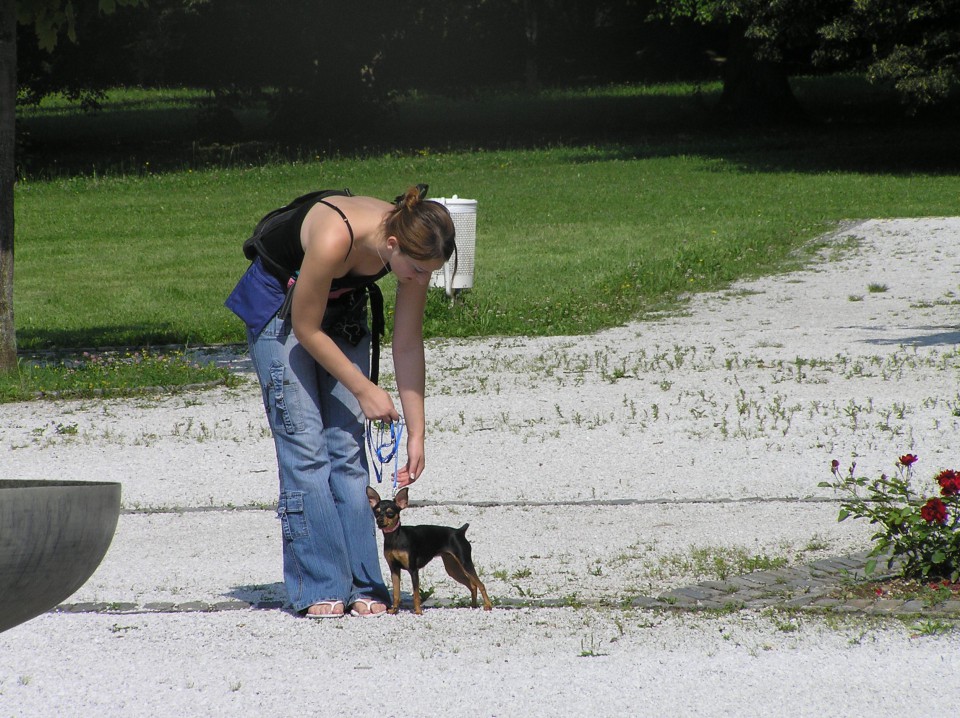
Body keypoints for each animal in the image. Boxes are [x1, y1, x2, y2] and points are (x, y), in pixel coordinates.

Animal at [364, 486, 492, 616]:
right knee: (473, 585)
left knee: (480, 584)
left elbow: (416, 594)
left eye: (390, 513)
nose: (379, 520)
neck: (395, 538)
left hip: (465, 563)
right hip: (452, 568)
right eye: (376, 512)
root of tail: (459, 531)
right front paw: (394, 610)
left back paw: (488, 605)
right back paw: (474, 605)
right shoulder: (394, 569)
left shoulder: (413, 570)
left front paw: (418, 611)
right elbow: (396, 593)